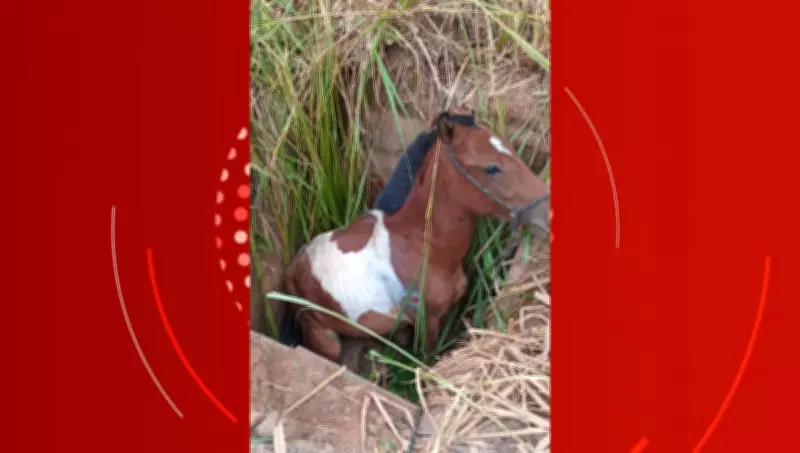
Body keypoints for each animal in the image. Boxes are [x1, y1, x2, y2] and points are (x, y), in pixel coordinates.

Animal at [281, 110, 550, 363]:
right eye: (491, 168)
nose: (547, 213)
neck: (421, 244)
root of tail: (294, 268)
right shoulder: (428, 320)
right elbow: (429, 355)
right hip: (327, 341)